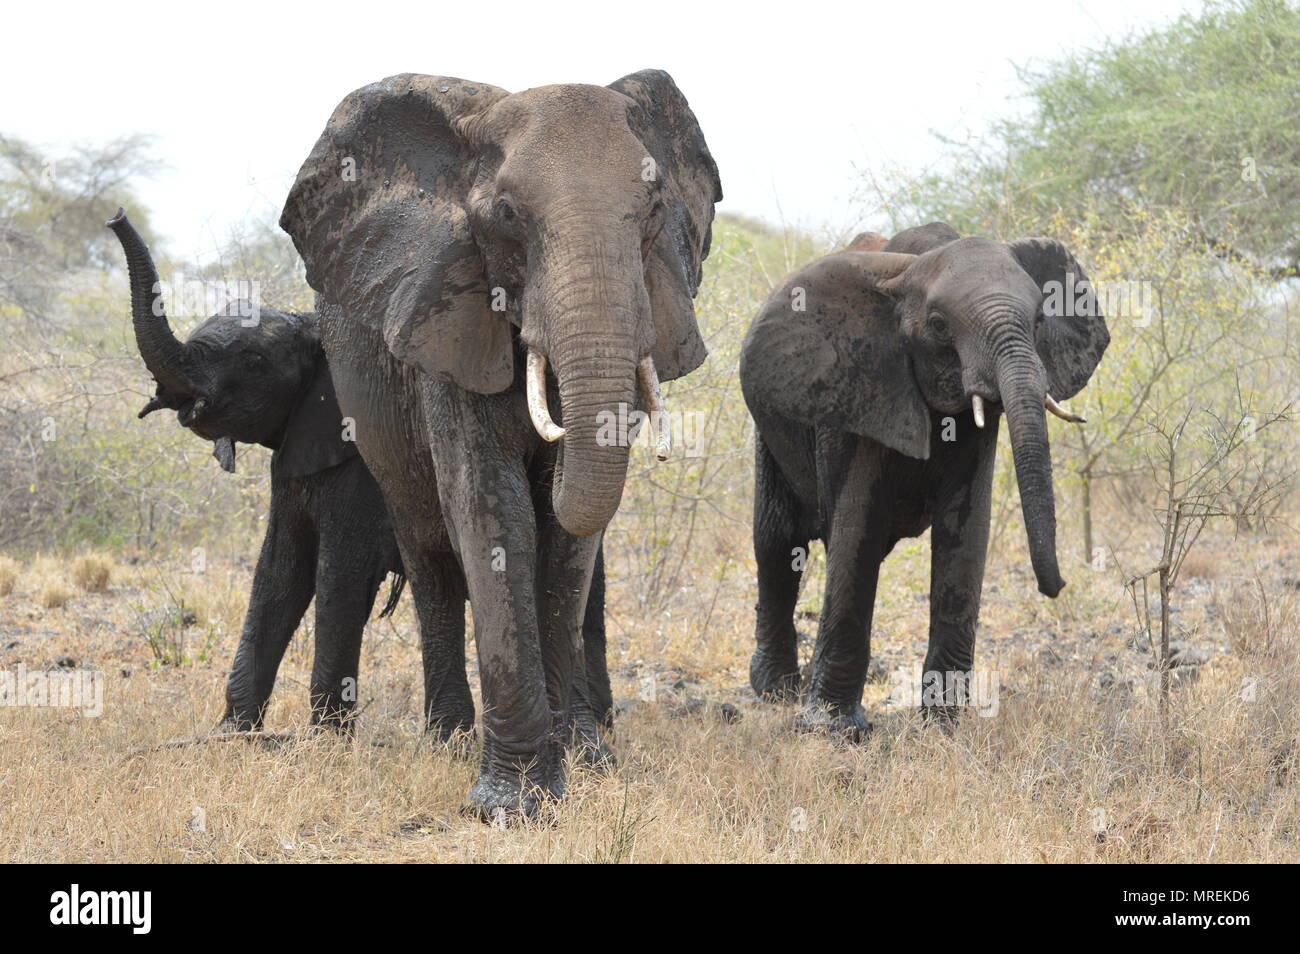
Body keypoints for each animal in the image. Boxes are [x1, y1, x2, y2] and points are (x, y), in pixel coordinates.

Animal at [280, 69, 722, 816]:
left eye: (656, 208)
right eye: (506, 215)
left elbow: (565, 542)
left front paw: (573, 772)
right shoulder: (445, 318)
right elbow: (496, 509)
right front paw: (511, 806)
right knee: (430, 558)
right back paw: (449, 739)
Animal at [743, 222, 1107, 738]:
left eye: (1039, 320)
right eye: (937, 325)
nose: (1056, 587)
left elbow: (965, 531)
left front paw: (943, 727)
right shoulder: (862, 387)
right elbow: (856, 530)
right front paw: (834, 731)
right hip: (771, 429)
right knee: (777, 541)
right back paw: (776, 692)